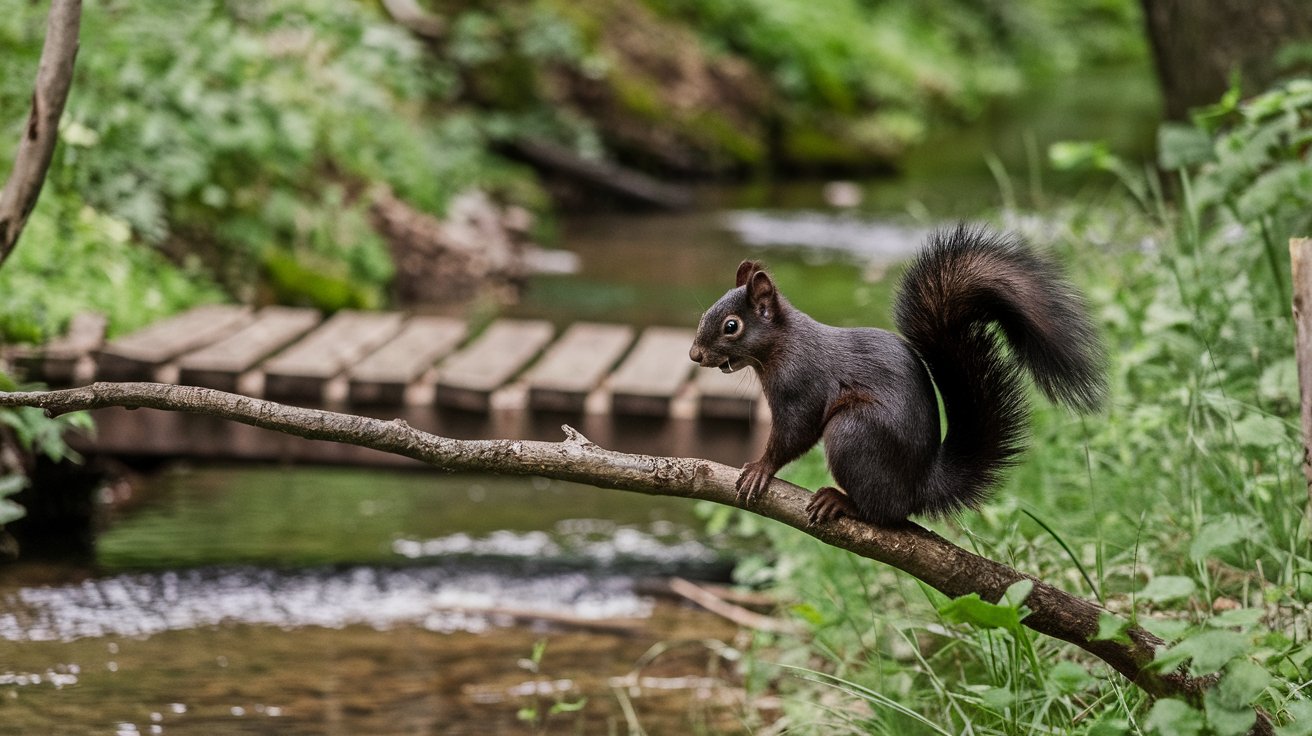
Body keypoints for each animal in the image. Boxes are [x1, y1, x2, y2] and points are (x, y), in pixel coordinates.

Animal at [687, 224, 1107, 522]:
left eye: (731, 326)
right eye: (705, 312)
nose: (694, 354)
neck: (782, 346)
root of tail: (919, 487)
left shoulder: (802, 386)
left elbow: (795, 433)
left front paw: (761, 468)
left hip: (854, 432)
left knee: (884, 513)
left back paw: (843, 502)